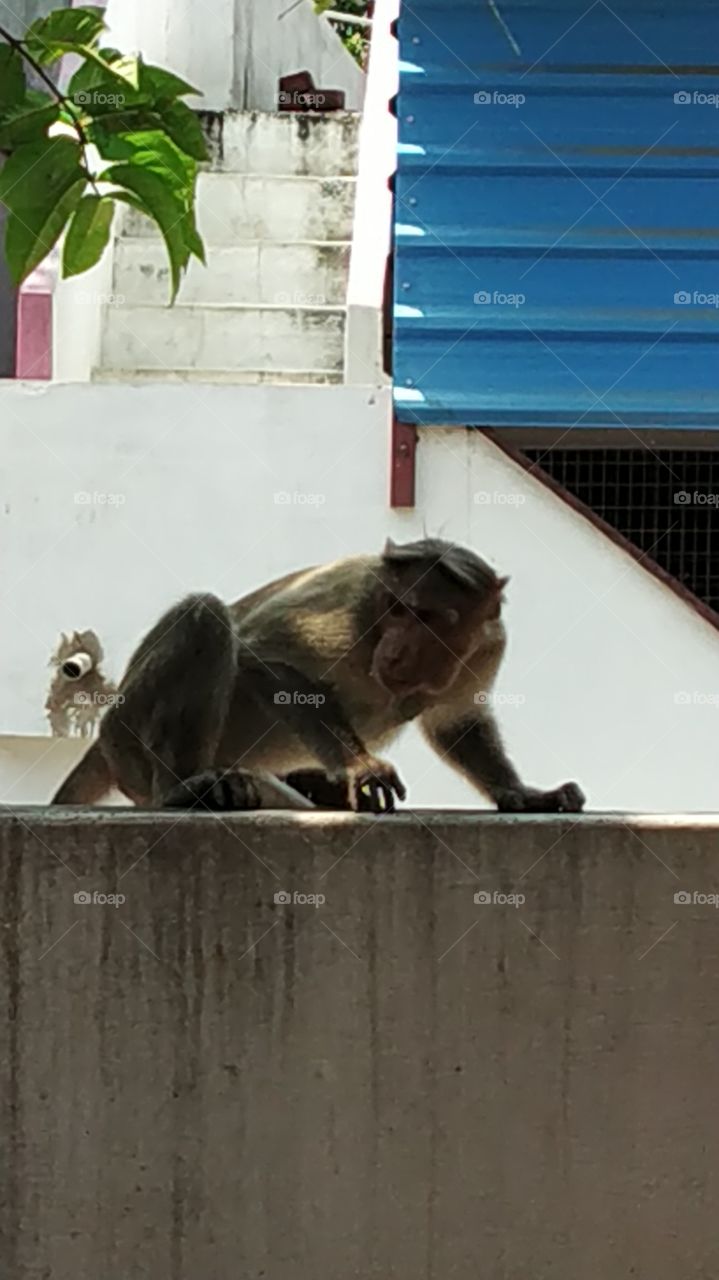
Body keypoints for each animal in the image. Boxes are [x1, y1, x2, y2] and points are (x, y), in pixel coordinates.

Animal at [51, 537, 585, 816]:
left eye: (430, 617)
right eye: (397, 609)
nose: (395, 650)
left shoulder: (490, 643)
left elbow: (458, 726)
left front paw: (523, 794)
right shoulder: (346, 604)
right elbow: (261, 658)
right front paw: (360, 768)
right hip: (127, 738)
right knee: (206, 616)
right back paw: (184, 789)